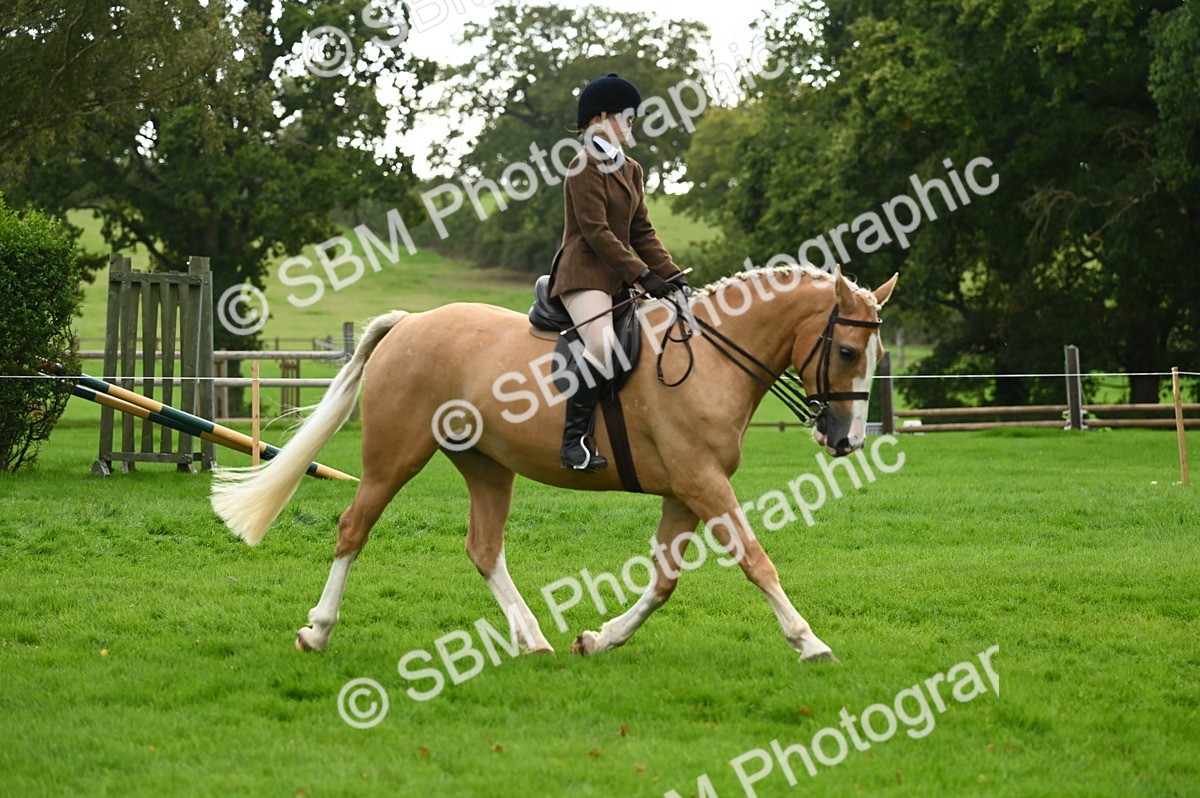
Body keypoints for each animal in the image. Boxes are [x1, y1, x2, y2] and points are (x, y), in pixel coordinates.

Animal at [211, 264, 897, 662]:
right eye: (845, 350)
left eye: (877, 353)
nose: (846, 441)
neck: (712, 359)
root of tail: (410, 324)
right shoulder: (703, 485)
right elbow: (757, 561)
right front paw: (810, 641)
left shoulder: (685, 491)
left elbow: (664, 581)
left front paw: (599, 638)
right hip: (393, 460)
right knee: (354, 529)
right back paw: (318, 631)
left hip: (488, 466)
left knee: (484, 548)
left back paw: (533, 639)